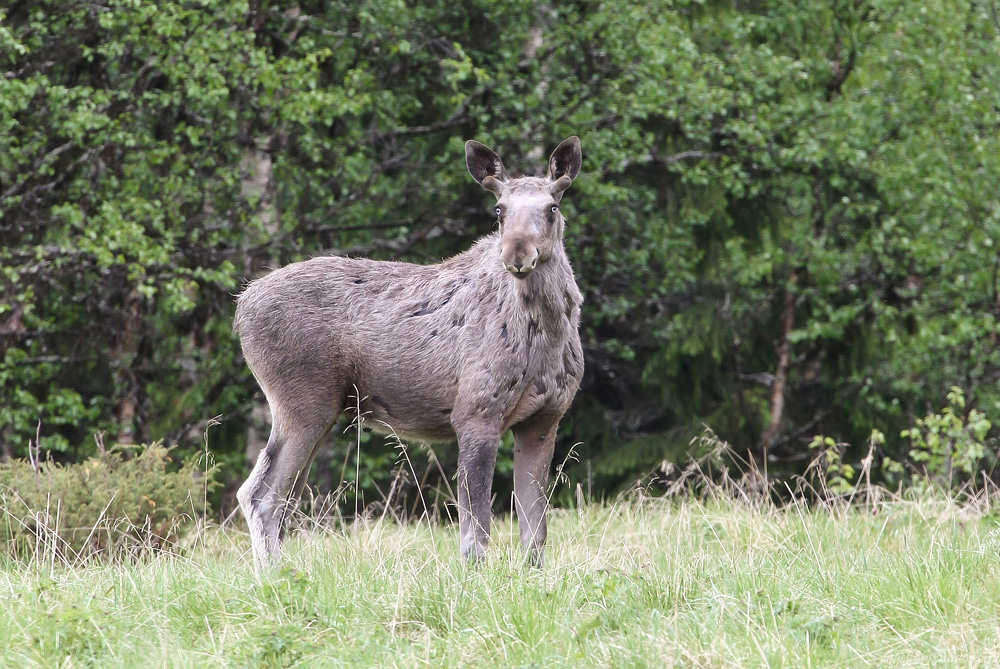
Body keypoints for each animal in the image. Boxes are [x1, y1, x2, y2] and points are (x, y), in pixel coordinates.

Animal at [232, 136, 584, 568]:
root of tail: (241, 308)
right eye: (499, 210)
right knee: (260, 496)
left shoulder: (545, 419)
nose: (517, 254)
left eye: (553, 207)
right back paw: (275, 575)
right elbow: (475, 530)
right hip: (302, 402)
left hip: (321, 410)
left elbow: (535, 530)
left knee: (280, 498)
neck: (546, 340)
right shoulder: (475, 413)